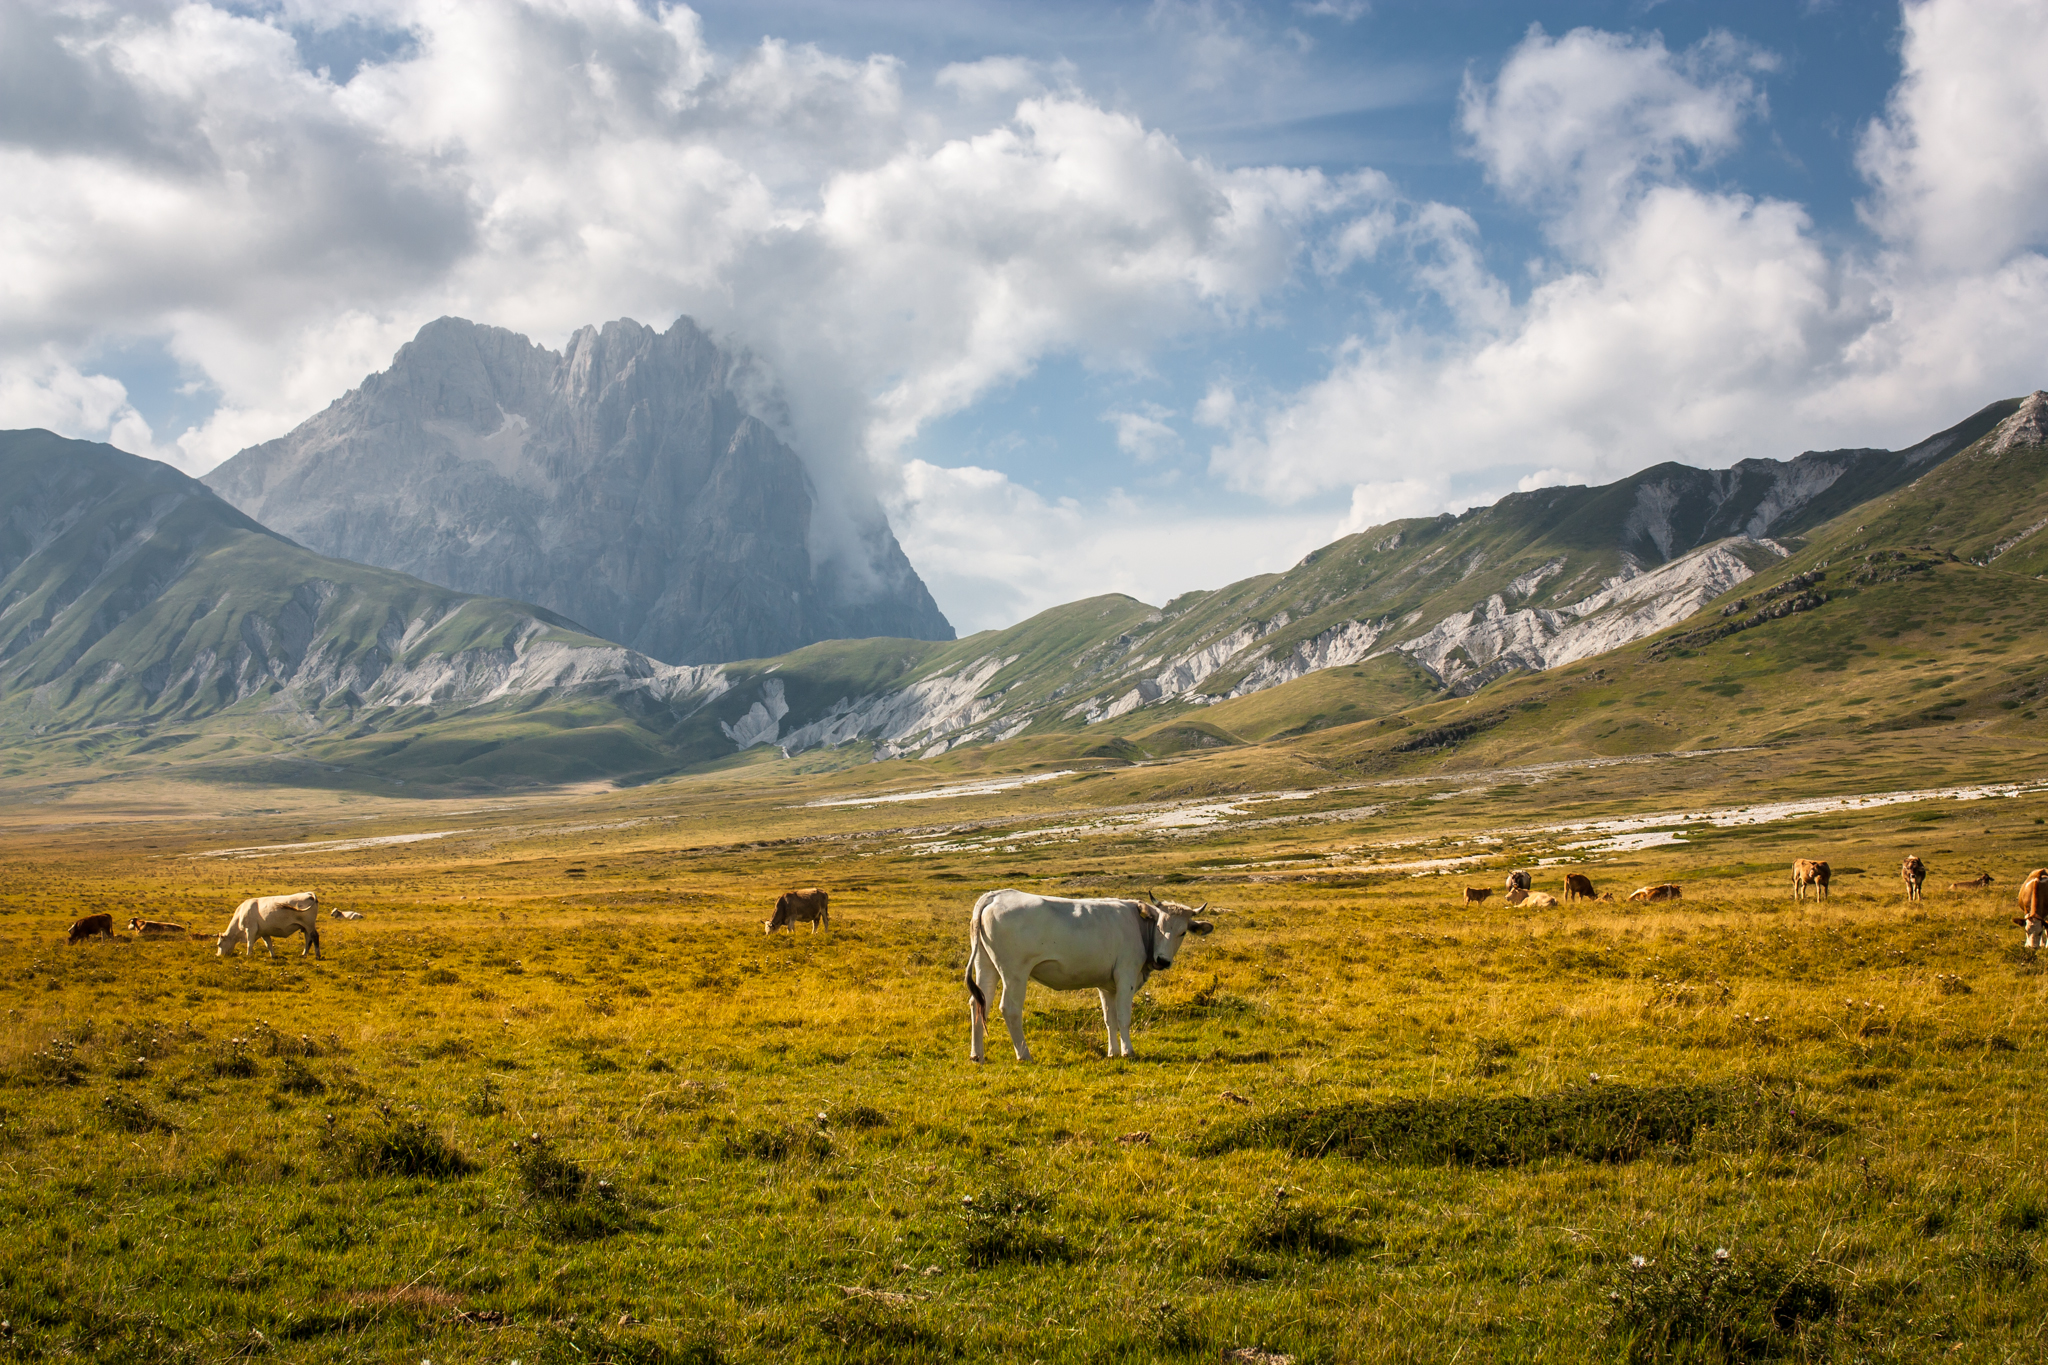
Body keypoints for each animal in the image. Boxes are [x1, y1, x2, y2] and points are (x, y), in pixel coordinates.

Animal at [966, 889, 1213, 1062]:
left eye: (1183, 932)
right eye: (1161, 926)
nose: (1163, 960)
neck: (1139, 926)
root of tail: (995, 895)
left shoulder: (1107, 985)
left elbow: (1109, 1019)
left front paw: (1113, 1052)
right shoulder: (1126, 976)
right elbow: (1123, 1017)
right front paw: (1128, 1052)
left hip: (985, 966)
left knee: (979, 1003)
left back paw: (977, 1055)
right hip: (1015, 973)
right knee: (1009, 1009)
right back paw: (1024, 1054)